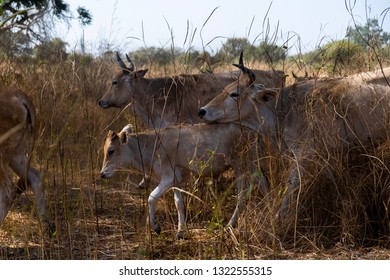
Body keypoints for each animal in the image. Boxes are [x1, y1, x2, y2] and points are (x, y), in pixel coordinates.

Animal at [99, 122, 266, 238]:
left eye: (111, 151)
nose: (102, 174)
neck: (152, 147)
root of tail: (253, 132)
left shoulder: (168, 177)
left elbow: (151, 197)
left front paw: (155, 227)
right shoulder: (176, 181)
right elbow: (178, 203)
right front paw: (180, 231)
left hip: (245, 164)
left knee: (257, 187)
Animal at [200, 53, 390, 219]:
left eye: (235, 94)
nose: (202, 111)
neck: (284, 108)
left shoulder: (303, 155)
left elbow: (291, 186)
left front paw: (278, 218)